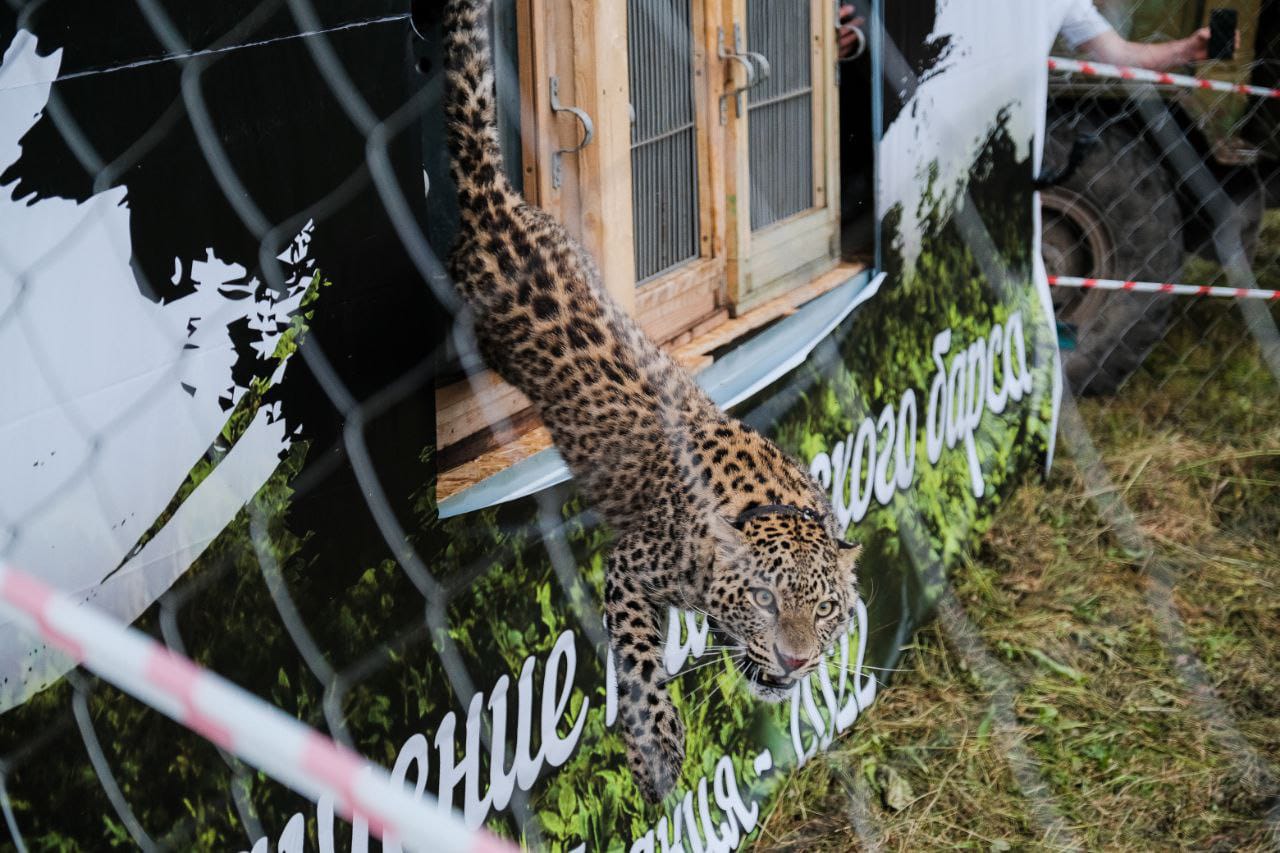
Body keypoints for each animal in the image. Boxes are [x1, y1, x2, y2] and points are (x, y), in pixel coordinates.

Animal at [445, 0, 865, 799]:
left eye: (825, 609)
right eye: (766, 600)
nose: (795, 661)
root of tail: (498, 204)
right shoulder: (631, 566)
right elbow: (639, 656)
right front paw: (658, 752)